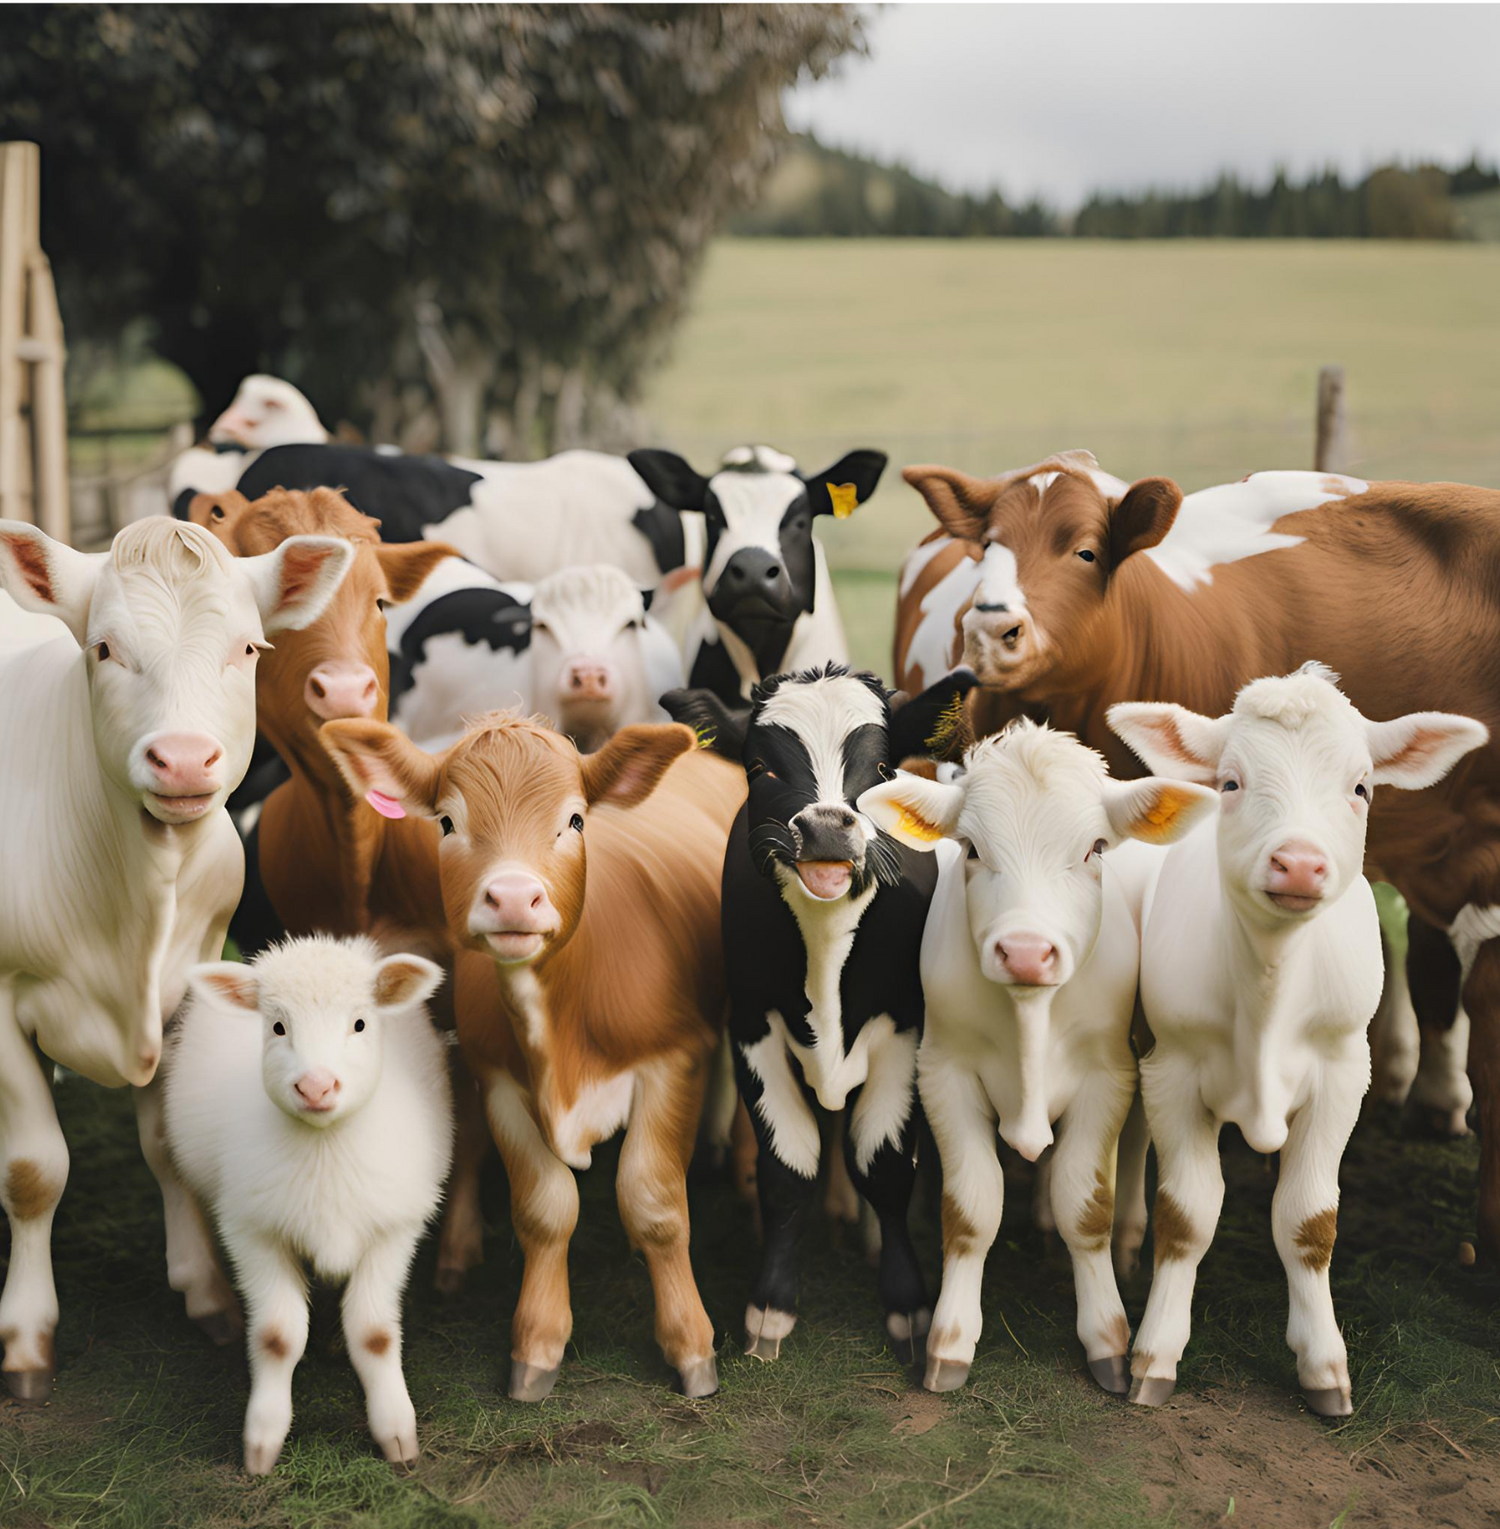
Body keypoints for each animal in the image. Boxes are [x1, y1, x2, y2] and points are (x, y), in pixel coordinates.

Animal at [0, 515, 352, 1399]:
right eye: (103, 649)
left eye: (248, 649)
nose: (186, 758)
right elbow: (33, 1169)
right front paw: (26, 1333)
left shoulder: (192, 980)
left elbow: (170, 1145)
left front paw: (204, 1286)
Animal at [320, 713, 747, 1400]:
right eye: (446, 822)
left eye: (575, 819)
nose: (516, 897)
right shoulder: (499, 1083)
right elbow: (545, 1208)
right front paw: (537, 1346)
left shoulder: (674, 1061)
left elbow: (654, 1202)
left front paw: (691, 1347)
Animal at [667, 664, 977, 1364]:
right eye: (760, 768)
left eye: (884, 767)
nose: (830, 826)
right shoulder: (752, 1027)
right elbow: (787, 1167)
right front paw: (771, 1308)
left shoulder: (904, 1027)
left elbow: (883, 1165)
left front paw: (907, 1303)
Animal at [858, 720, 1216, 1396]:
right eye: (971, 848)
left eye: (1095, 848)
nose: (1025, 951)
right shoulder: (944, 1071)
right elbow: (970, 1208)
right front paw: (949, 1341)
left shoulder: (1108, 1076)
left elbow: (1086, 1205)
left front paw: (1107, 1338)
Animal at [1109, 666, 1484, 1413]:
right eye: (1230, 782)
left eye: (1362, 787)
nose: (1301, 864)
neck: (1270, 989)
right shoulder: (1176, 1068)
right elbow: (1186, 1214)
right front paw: (1155, 1352)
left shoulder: (1342, 1074)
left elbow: (1309, 1221)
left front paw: (1324, 1364)